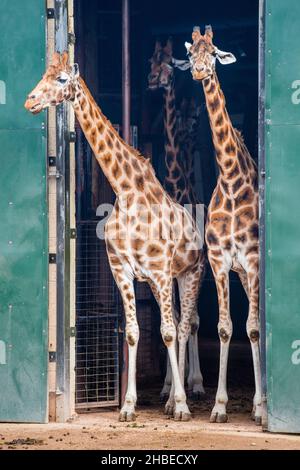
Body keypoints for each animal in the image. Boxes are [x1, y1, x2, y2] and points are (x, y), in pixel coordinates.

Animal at [25, 51, 204, 422]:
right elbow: (133, 333)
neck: (126, 190)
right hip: (170, 280)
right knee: (179, 323)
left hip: (191, 273)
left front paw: (181, 406)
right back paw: (168, 397)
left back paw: (183, 396)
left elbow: (167, 332)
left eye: (61, 79)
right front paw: (128, 406)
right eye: (44, 73)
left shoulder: (159, 271)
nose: (29, 101)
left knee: (184, 326)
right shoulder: (122, 269)